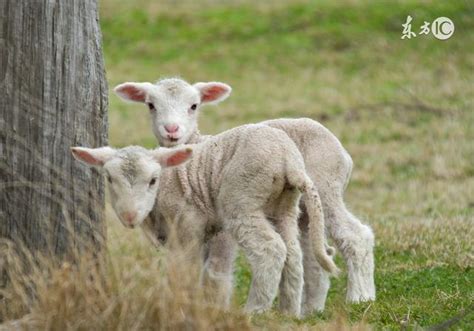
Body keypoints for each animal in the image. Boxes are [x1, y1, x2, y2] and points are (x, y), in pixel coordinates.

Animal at [71, 124, 336, 316]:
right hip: (284, 206)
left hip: (242, 199)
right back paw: (287, 312)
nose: (129, 216)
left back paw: (254, 311)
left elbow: (187, 270)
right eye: (109, 178)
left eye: (153, 180)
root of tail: (289, 162)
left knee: (271, 250)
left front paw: (182, 306)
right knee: (292, 253)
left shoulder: (188, 227)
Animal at [113, 78, 376, 314]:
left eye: (194, 105)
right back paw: (310, 309)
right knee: (313, 255)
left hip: (325, 188)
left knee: (355, 236)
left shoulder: (218, 230)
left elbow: (215, 270)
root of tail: (341, 149)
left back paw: (359, 297)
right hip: (303, 210)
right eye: (151, 105)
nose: (171, 130)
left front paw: (215, 307)